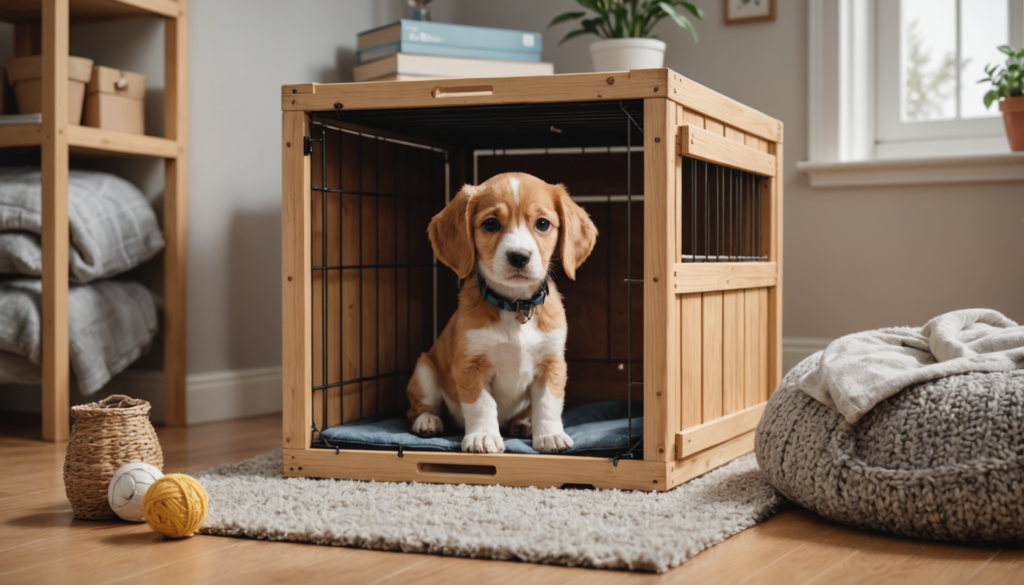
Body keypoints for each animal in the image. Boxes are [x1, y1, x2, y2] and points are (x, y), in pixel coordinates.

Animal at [405, 172, 598, 454]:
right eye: (491, 224)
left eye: (542, 224)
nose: (519, 256)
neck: (515, 305)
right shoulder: (470, 366)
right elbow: (482, 404)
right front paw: (483, 436)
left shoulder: (551, 364)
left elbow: (548, 404)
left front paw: (550, 435)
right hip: (424, 372)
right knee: (420, 407)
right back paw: (428, 421)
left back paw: (524, 424)